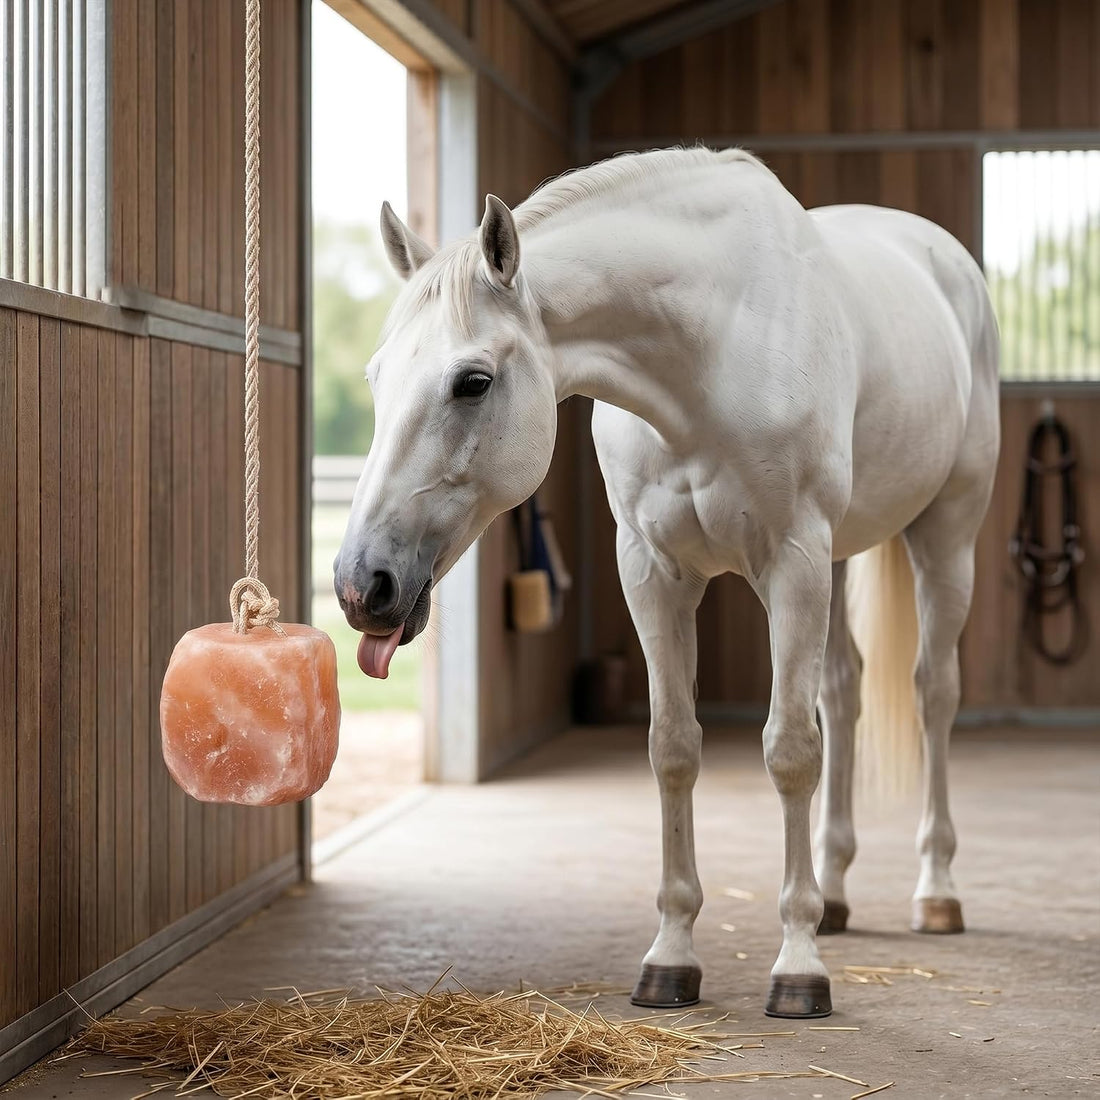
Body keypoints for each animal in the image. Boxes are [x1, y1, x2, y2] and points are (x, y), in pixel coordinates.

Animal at [333, 147, 1001, 1019]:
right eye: (377, 377)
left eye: (472, 381)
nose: (360, 585)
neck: (711, 352)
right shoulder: (654, 573)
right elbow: (673, 748)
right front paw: (672, 957)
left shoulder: (792, 562)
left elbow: (790, 751)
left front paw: (797, 968)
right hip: (839, 560)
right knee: (845, 694)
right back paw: (835, 896)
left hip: (943, 537)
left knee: (933, 694)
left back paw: (936, 893)